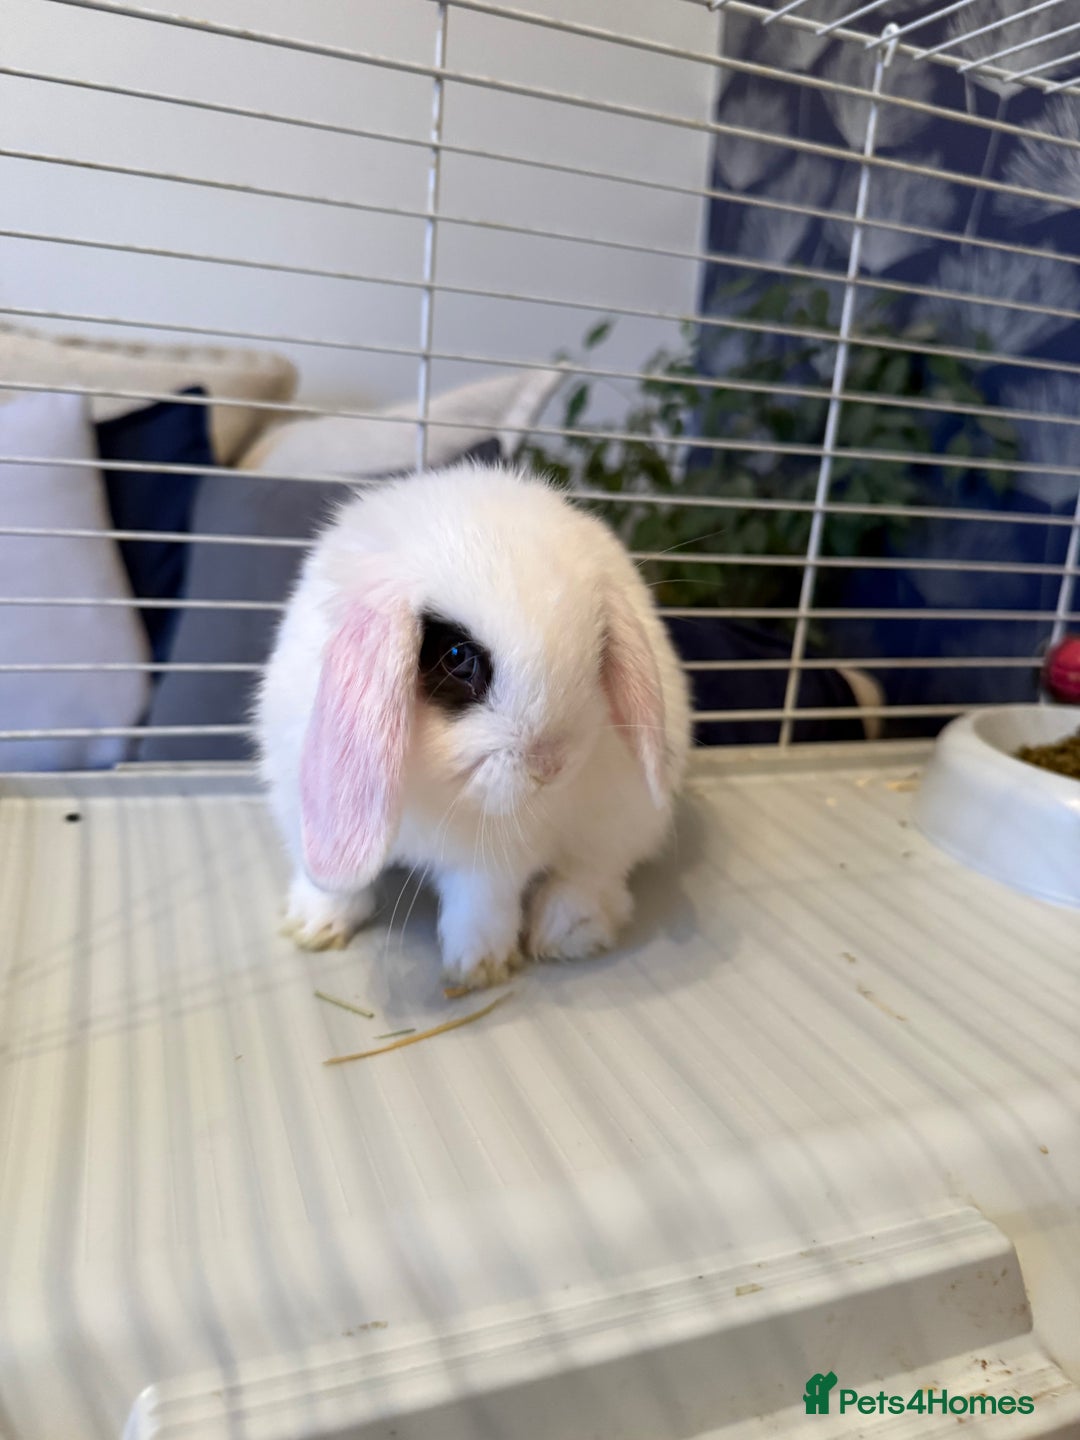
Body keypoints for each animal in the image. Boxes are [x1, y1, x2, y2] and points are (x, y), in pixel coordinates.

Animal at [255, 462, 692, 991]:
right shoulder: (302, 805)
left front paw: (478, 968)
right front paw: (315, 927)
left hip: (621, 821)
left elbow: (479, 904)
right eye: (457, 658)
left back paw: (565, 934)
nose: (550, 764)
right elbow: (330, 885)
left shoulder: (496, 857)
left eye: (598, 652)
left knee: (595, 875)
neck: (434, 786)